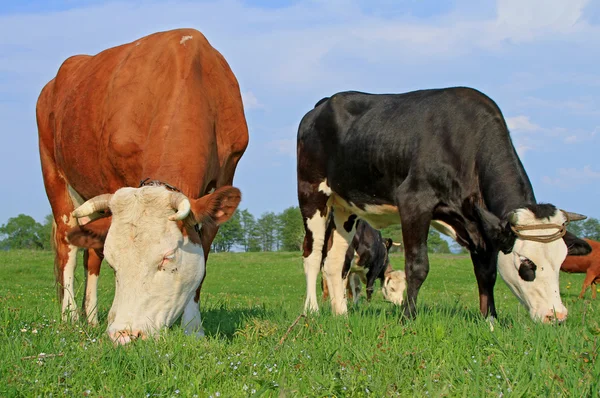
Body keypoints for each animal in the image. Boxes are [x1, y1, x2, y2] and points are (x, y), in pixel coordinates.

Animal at [37, 28, 248, 346]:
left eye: (167, 258)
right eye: (116, 264)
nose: (124, 335)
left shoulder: (225, 179)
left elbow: (203, 258)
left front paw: (193, 328)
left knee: (90, 255)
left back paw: (91, 317)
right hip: (54, 175)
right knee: (67, 246)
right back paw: (71, 318)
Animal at [296, 87, 592, 324]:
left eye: (562, 262)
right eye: (526, 264)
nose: (557, 316)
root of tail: (323, 104)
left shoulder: (480, 225)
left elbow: (487, 273)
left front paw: (490, 319)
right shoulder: (414, 202)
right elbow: (418, 266)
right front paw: (407, 318)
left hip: (346, 207)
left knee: (335, 262)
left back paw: (341, 314)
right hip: (311, 194)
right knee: (313, 253)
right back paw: (311, 310)